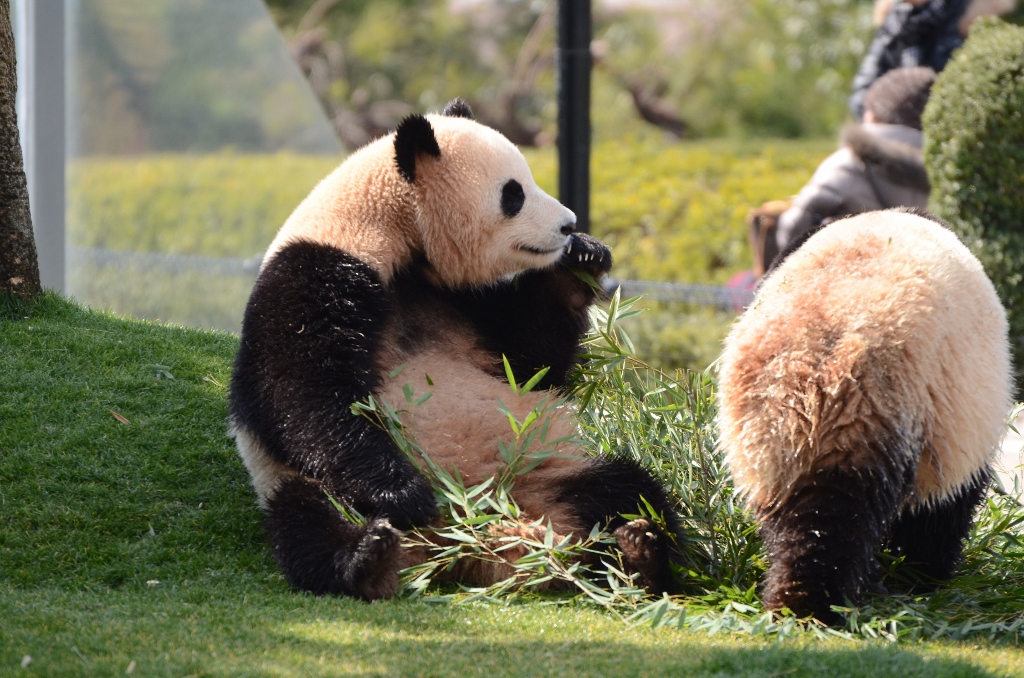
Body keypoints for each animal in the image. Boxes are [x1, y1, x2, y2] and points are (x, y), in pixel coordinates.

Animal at [228, 99, 684, 602]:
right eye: (513, 194)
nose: (568, 224)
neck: (393, 232)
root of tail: (472, 542)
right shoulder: (313, 272)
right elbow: (301, 394)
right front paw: (404, 494)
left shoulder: (460, 301)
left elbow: (529, 362)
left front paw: (583, 257)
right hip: (306, 486)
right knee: (307, 524)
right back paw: (368, 558)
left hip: (548, 472)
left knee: (628, 489)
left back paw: (640, 555)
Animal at [716, 209, 1011, 622]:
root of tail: (821, 370)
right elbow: (947, 503)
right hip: (889, 409)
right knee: (863, 517)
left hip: (767, 435)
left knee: (798, 521)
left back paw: (794, 598)